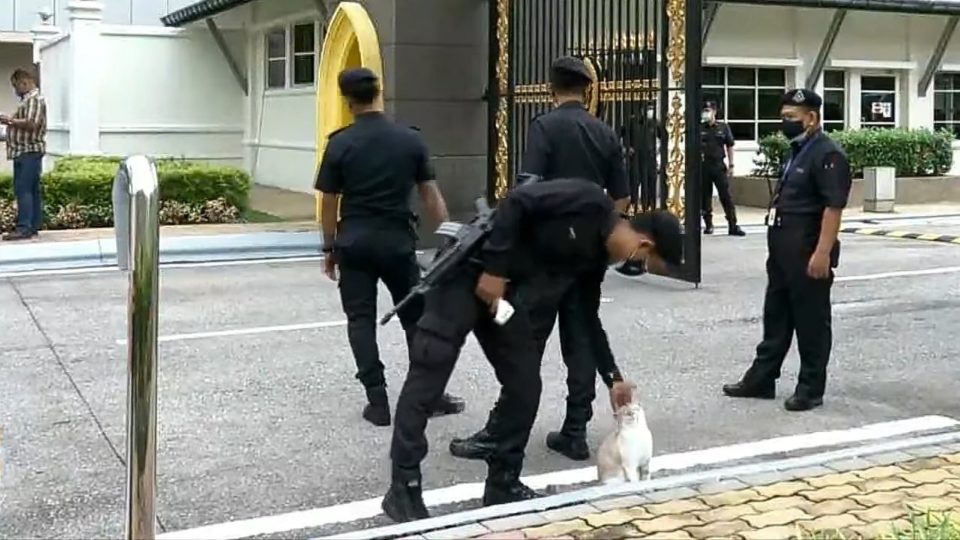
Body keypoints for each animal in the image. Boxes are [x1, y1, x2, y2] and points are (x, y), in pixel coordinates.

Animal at [382, 179, 684, 520]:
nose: (640, 267)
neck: (603, 230)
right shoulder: (581, 197)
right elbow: (522, 202)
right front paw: (491, 278)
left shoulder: (591, 272)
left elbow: (588, 317)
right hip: (455, 294)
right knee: (434, 357)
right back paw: (405, 499)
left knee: (523, 383)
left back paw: (504, 488)